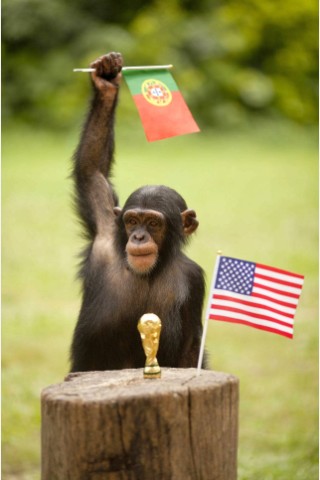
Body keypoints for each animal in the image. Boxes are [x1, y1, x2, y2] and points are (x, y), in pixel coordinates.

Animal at [69, 51, 205, 372]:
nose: (139, 237)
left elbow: (190, 350)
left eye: (153, 224)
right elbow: (91, 170)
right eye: (132, 221)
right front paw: (107, 80)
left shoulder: (194, 279)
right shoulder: (106, 231)